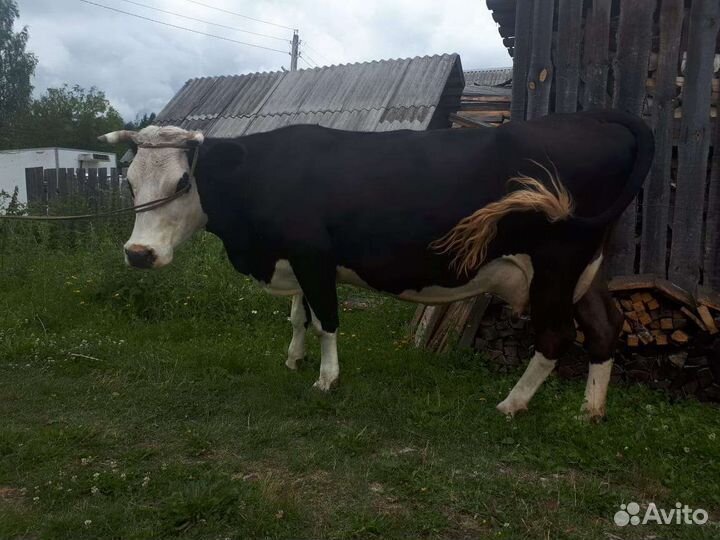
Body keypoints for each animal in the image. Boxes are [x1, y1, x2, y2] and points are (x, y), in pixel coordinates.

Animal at [99, 109, 654, 421]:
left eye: (182, 183)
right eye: (129, 182)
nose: (138, 253)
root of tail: (597, 119)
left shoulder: (313, 256)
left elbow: (326, 319)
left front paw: (327, 379)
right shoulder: (297, 262)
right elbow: (299, 316)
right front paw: (294, 359)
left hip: (557, 264)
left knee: (557, 336)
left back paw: (511, 404)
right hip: (588, 268)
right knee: (605, 326)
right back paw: (590, 410)